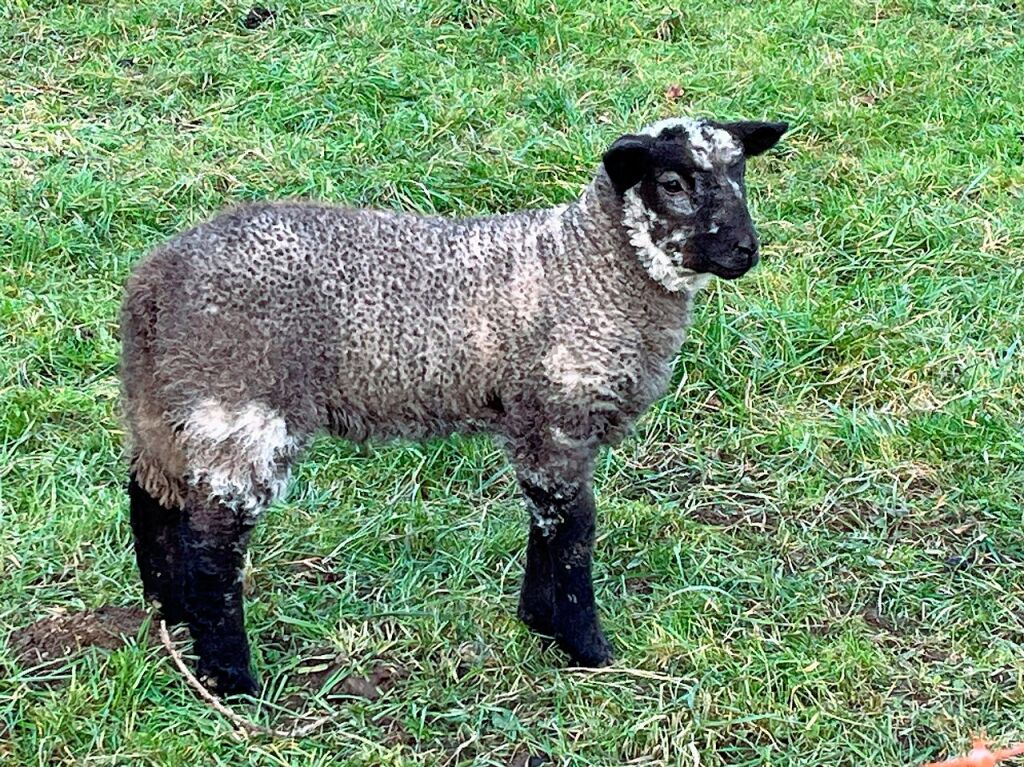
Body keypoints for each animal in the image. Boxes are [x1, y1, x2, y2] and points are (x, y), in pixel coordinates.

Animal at [121, 115, 790, 692]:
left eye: (740, 172)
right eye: (672, 184)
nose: (745, 252)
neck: (592, 265)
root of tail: (154, 283)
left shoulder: (534, 426)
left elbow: (546, 522)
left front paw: (537, 621)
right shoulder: (559, 417)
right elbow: (574, 532)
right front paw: (587, 649)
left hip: (166, 403)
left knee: (152, 496)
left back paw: (169, 611)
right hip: (240, 408)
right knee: (213, 549)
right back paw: (232, 680)